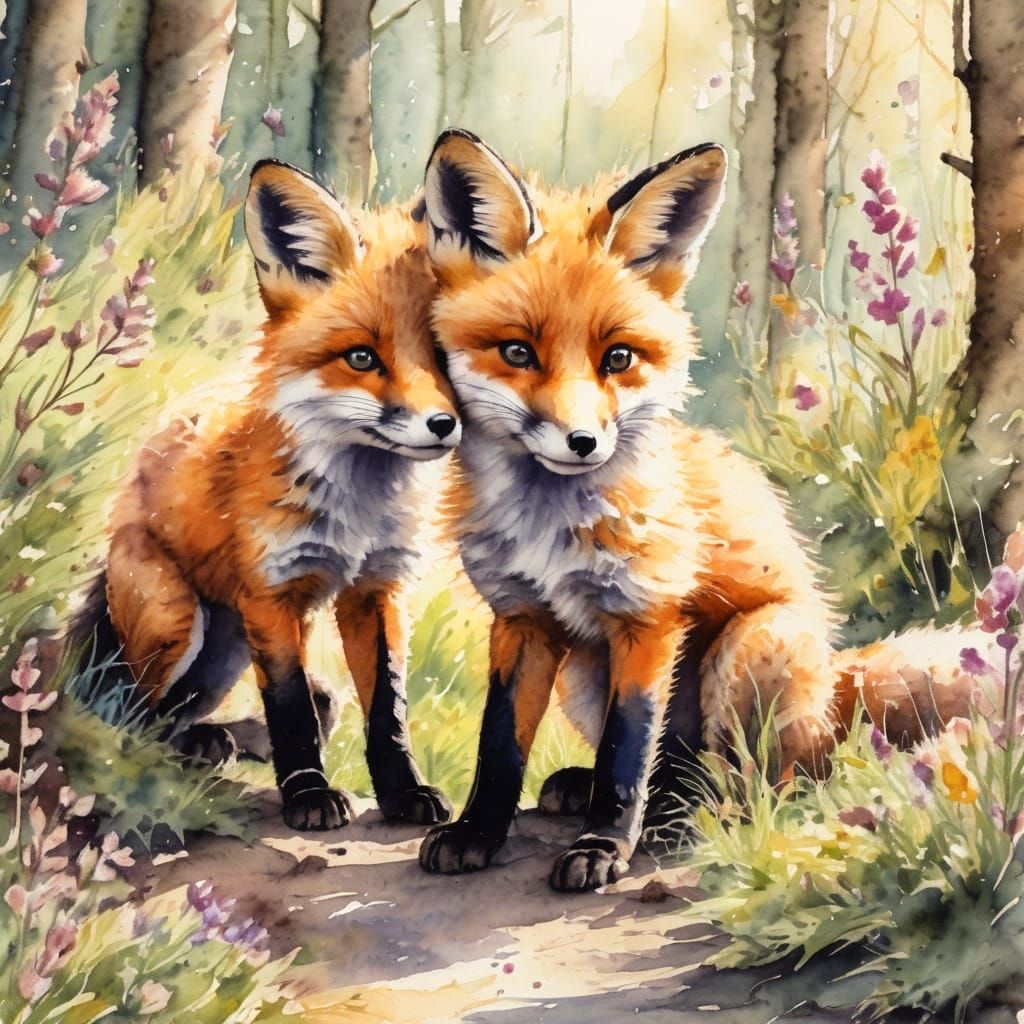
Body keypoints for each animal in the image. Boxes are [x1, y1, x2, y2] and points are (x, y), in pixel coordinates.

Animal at [71, 160, 460, 831]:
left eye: (442, 350)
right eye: (362, 357)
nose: (442, 426)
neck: (357, 510)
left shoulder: (375, 589)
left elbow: (386, 710)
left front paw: (404, 792)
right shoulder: (272, 595)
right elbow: (291, 709)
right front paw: (307, 796)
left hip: (227, 649)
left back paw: (215, 740)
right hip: (178, 622)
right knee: (134, 717)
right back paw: (196, 747)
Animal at [414, 129, 978, 892]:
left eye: (618, 357)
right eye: (516, 352)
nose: (583, 442)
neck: (550, 529)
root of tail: (840, 681)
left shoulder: (648, 617)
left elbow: (625, 757)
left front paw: (602, 848)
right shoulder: (522, 619)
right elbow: (499, 744)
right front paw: (476, 833)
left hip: (749, 650)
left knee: (763, 786)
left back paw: (690, 819)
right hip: (583, 673)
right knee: (675, 771)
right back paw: (610, 793)